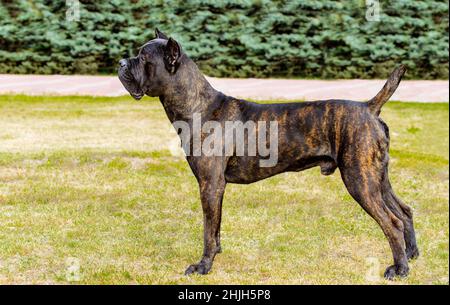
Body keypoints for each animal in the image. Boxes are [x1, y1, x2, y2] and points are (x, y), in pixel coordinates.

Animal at [118, 29, 418, 280]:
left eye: (143, 58)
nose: (121, 63)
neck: (198, 106)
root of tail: (370, 107)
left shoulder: (210, 185)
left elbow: (207, 230)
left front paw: (203, 266)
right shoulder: (215, 188)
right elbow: (215, 227)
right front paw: (215, 254)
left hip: (360, 180)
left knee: (391, 222)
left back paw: (399, 269)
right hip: (377, 178)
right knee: (403, 211)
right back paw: (411, 255)